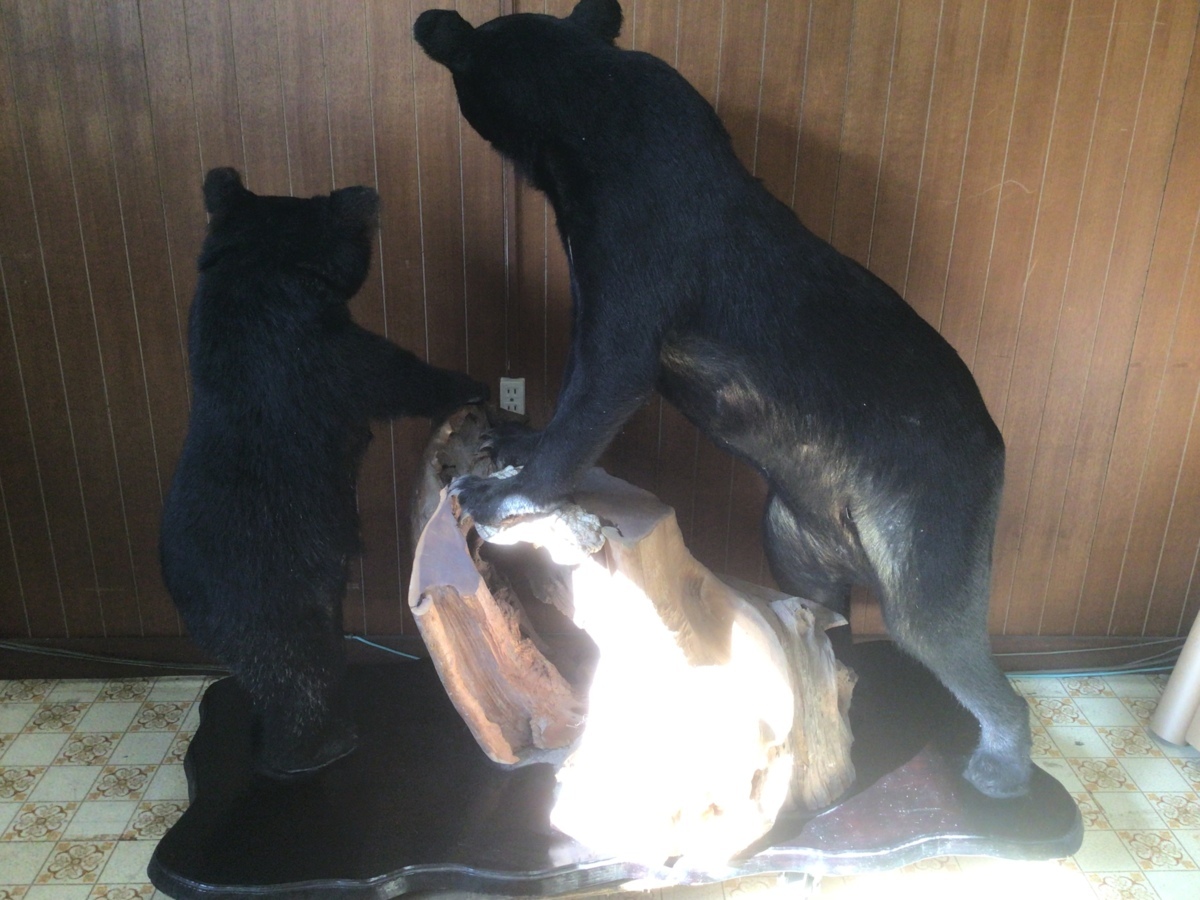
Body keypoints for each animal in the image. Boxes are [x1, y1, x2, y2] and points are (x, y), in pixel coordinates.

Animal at [159, 168, 487, 779]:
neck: (263, 262)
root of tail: (184, 599)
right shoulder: (305, 344)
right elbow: (388, 373)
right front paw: (466, 383)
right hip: (270, 593)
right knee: (296, 672)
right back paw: (316, 748)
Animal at [414, 0, 1032, 799]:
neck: (585, 105)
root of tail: (997, 448)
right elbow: (566, 408)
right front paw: (515, 442)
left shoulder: (625, 305)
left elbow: (586, 408)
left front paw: (505, 492)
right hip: (792, 542)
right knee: (827, 622)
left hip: (930, 544)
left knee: (959, 650)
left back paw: (1001, 767)